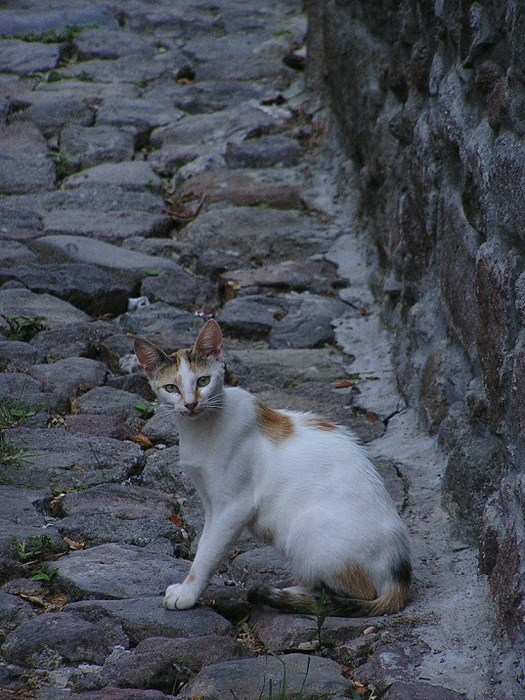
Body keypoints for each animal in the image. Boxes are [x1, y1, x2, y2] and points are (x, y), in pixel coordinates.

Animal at [134, 320, 410, 616]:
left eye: (203, 381)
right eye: (171, 388)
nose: (190, 403)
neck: (199, 430)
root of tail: (399, 574)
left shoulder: (234, 507)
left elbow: (208, 554)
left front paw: (188, 593)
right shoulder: (210, 502)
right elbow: (205, 542)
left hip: (305, 531)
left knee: (348, 594)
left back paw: (293, 594)